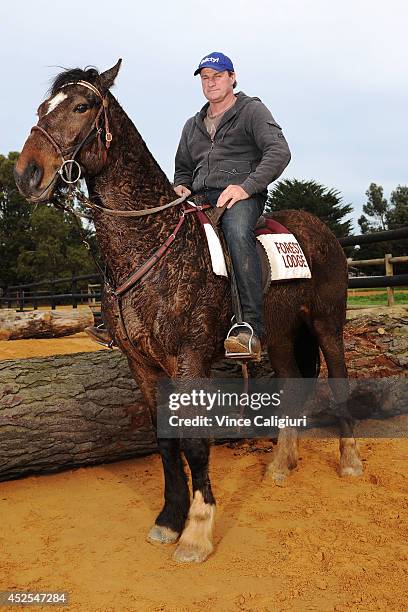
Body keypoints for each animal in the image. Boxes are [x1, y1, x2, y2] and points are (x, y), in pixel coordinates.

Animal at [14, 59, 362, 560]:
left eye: (81, 106)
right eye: (43, 108)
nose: (26, 174)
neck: (150, 243)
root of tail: (321, 229)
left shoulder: (189, 359)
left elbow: (195, 441)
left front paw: (197, 531)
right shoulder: (142, 363)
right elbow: (165, 439)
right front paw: (168, 519)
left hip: (326, 324)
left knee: (337, 380)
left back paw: (350, 461)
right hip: (278, 336)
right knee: (291, 384)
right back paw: (280, 464)